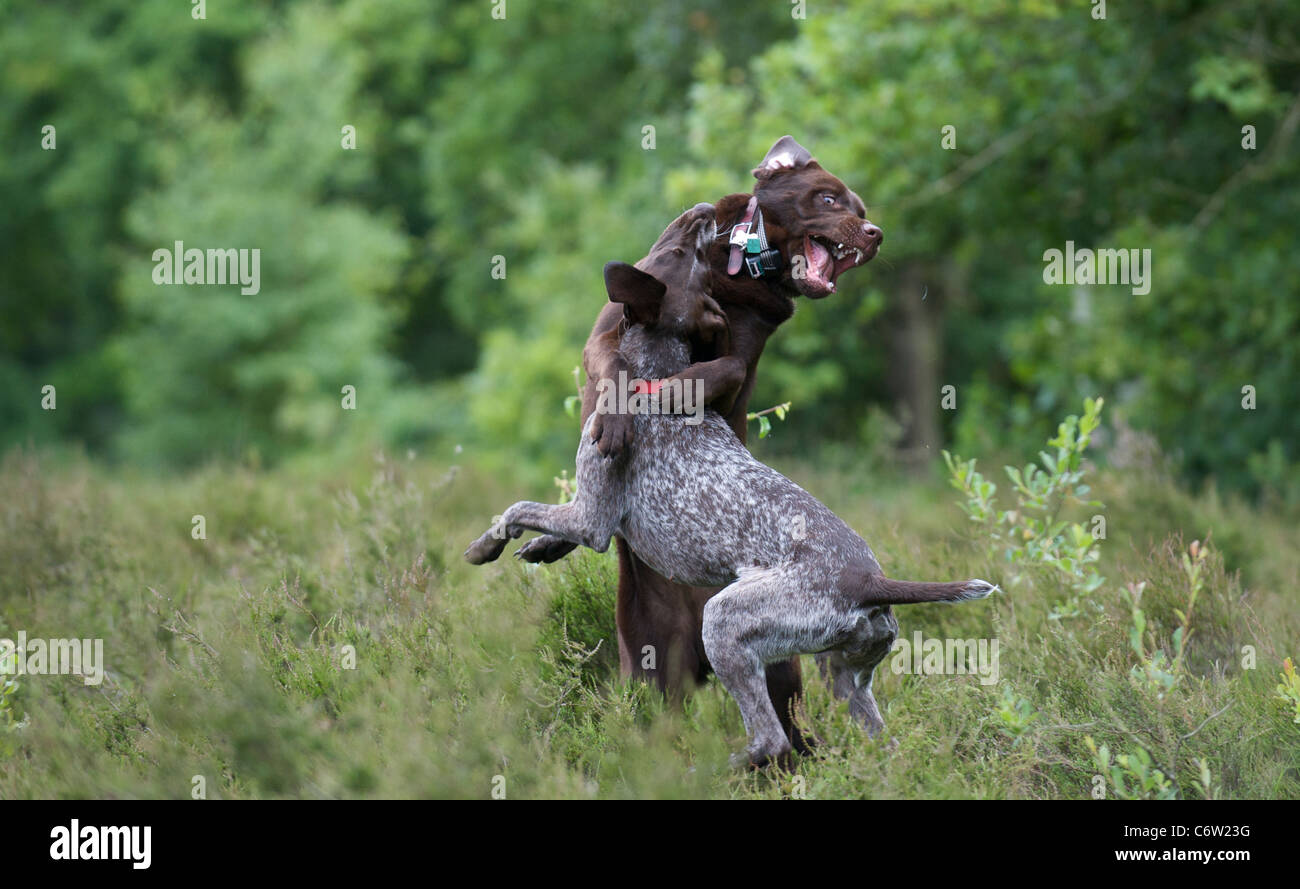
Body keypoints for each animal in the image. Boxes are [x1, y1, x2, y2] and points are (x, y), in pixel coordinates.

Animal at [465, 207, 993, 764]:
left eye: (678, 254)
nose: (701, 214)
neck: (657, 371)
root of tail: (872, 582)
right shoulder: (593, 515)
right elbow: (541, 522)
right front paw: (541, 547)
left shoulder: (593, 520)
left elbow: (516, 508)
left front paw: (486, 545)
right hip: (845, 675)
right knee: (875, 740)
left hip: (724, 622)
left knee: (770, 737)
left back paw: (715, 766)